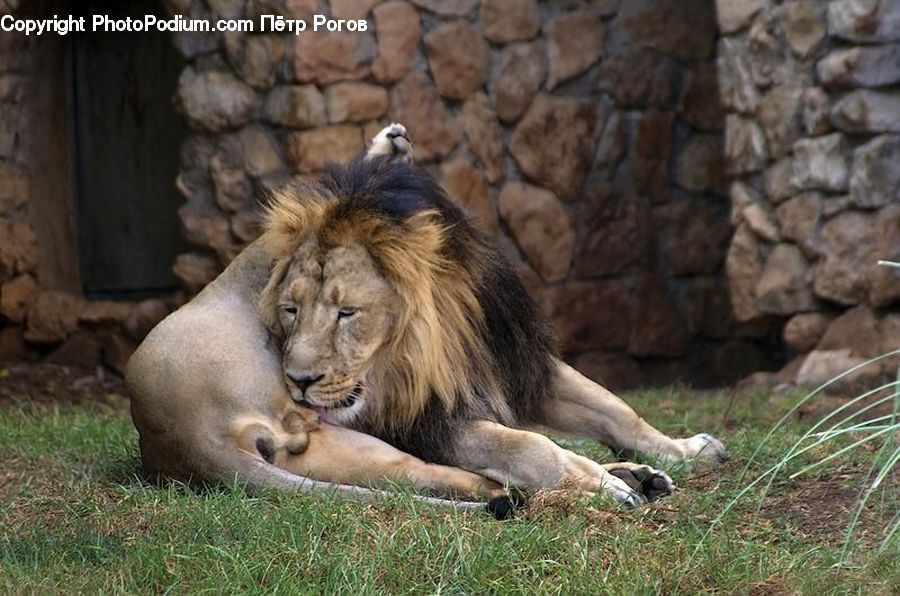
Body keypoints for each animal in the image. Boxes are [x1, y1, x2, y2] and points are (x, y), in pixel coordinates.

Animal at [126, 124, 725, 515]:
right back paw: (574, 487)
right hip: (340, 440)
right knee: (439, 478)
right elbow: (523, 446)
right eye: (289, 312)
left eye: (347, 313)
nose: (298, 380)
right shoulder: (423, 417)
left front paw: (684, 451)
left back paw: (639, 475)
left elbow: (615, 409)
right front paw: (603, 486)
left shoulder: (505, 359)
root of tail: (177, 440)